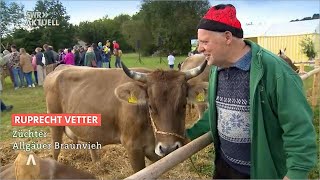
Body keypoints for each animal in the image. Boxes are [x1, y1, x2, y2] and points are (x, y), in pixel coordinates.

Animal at [44, 61, 208, 172]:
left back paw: (98, 165)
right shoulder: (132, 147)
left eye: (183, 104)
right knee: (55, 150)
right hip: (55, 124)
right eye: (150, 106)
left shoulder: (155, 153)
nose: (169, 149)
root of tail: (58, 69)